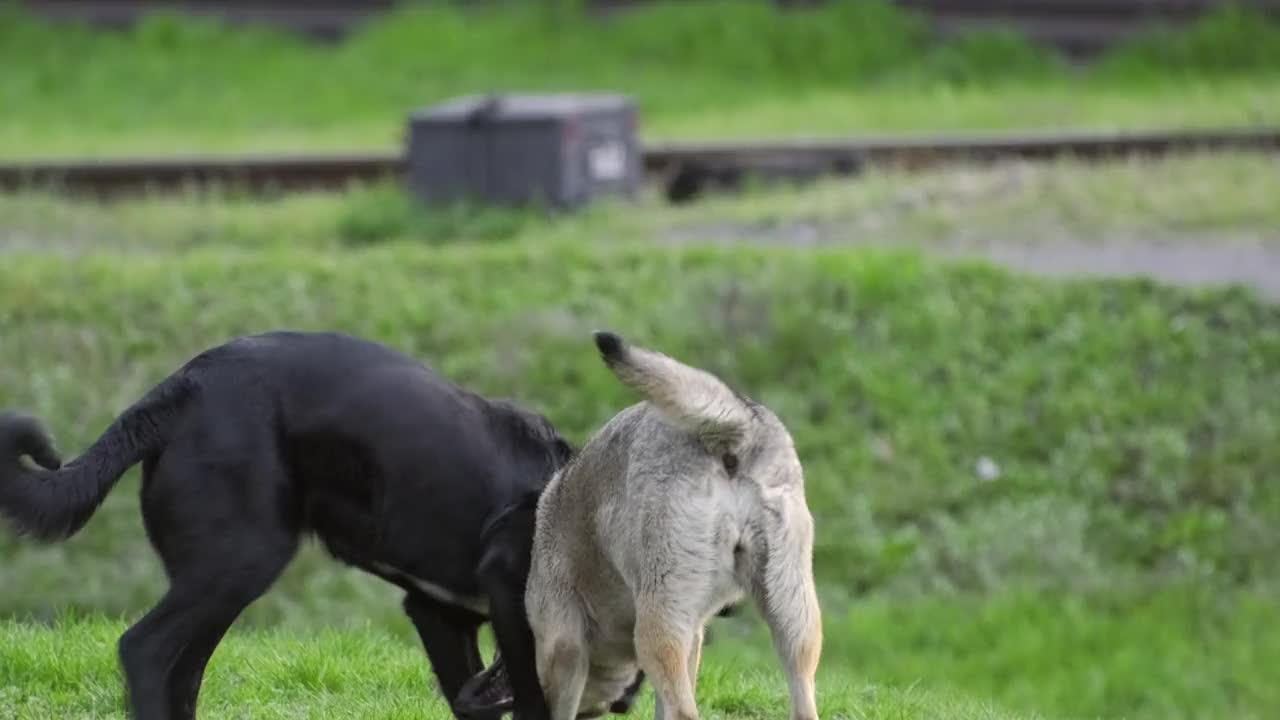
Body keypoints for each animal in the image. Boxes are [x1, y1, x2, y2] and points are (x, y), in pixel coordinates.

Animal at [0, 330, 570, 717]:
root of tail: (179, 388)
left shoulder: (437, 615)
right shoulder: (506, 606)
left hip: (218, 579)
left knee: (181, 671)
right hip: (243, 559)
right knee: (144, 650)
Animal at [524, 330, 824, 717]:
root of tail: (732, 432)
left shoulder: (563, 645)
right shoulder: (693, 633)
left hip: (657, 629)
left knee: (686, 710)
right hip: (792, 619)